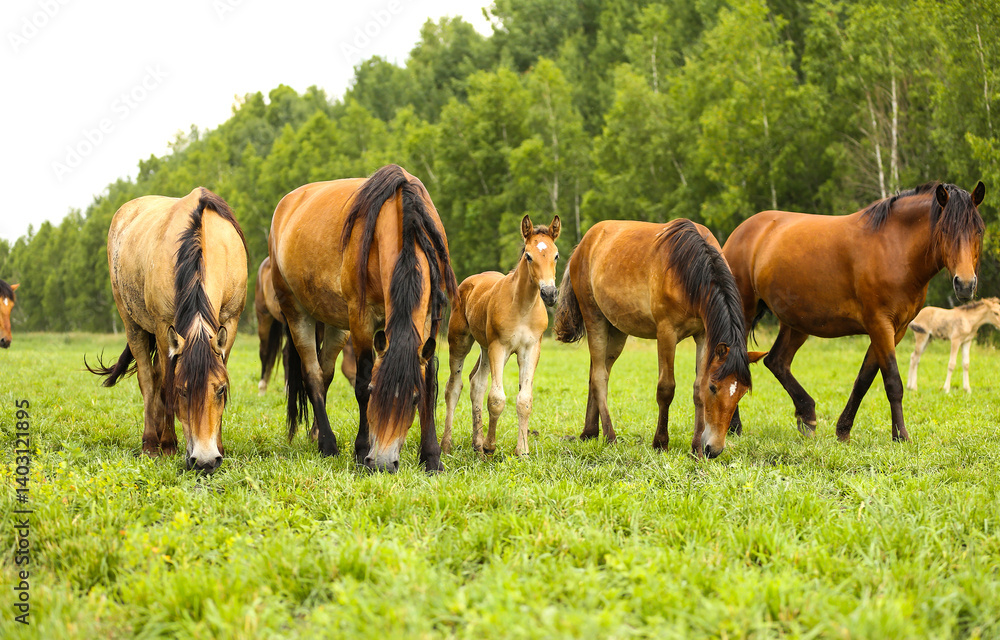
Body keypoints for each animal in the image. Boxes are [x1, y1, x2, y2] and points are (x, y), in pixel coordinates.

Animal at [86, 188, 247, 472]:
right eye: (182, 391)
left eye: (220, 390)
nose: (205, 460)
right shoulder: (163, 326)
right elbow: (164, 386)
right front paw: (169, 445)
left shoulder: (230, 322)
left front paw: (220, 445)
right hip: (133, 325)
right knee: (149, 381)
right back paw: (152, 442)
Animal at [269, 164, 457, 472]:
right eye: (375, 390)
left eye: (413, 398)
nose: (382, 463)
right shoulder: (361, 319)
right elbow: (360, 383)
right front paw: (360, 450)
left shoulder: (430, 318)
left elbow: (429, 383)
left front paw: (431, 457)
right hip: (297, 312)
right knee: (312, 375)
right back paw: (328, 444)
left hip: (335, 325)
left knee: (325, 373)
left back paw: (318, 434)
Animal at [442, 214, 561, 456]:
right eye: (528, 256)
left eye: (556, 255)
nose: (549, 293)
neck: (523, 307)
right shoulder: (500, 346)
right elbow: (496, 398)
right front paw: (490, 446)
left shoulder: (530, 349)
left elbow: (524, 400)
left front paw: (522, 451)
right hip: (460, 341)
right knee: (454, 387)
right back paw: (447, 445)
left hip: (486, 348)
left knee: (476, 383)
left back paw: (477, 444)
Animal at [555, 219, 766, 458]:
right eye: (714, 388)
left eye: (741, 393)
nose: (714, 449)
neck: (689, 271)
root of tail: (583, 244)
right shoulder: (666, 333)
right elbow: (666, 388)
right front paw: (660, 443)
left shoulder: (704, 336)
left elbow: (697, 388)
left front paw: (696, 448)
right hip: (594, 319)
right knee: (600, 377)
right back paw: (610, 436)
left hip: (616, 331)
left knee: (596, 373)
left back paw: (589, 432)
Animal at [723, 181, 985, 442]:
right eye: (945, 231)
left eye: (978, 231)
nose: (965, 284)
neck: (895, 246)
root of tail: (742, 231)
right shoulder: (879, 324)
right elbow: (893, 381)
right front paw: (901, 436)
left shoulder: (895, 330)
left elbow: (864, 380)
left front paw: (843, 430)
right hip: (744, 312)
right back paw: (734, 427)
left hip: (796, 322)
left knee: (777, 361)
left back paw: (807, 417)